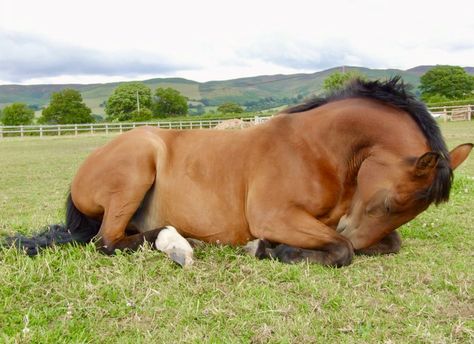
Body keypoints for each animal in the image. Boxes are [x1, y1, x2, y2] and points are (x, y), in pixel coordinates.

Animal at [2, 76, 470, 268]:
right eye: (391, 201)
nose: (356, 233)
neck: (315, 148)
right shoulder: (275, 216)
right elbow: (341, 250)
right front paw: (269, 249)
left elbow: (388, 243)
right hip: (137, 168)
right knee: (108, 242)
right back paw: (180, 247)